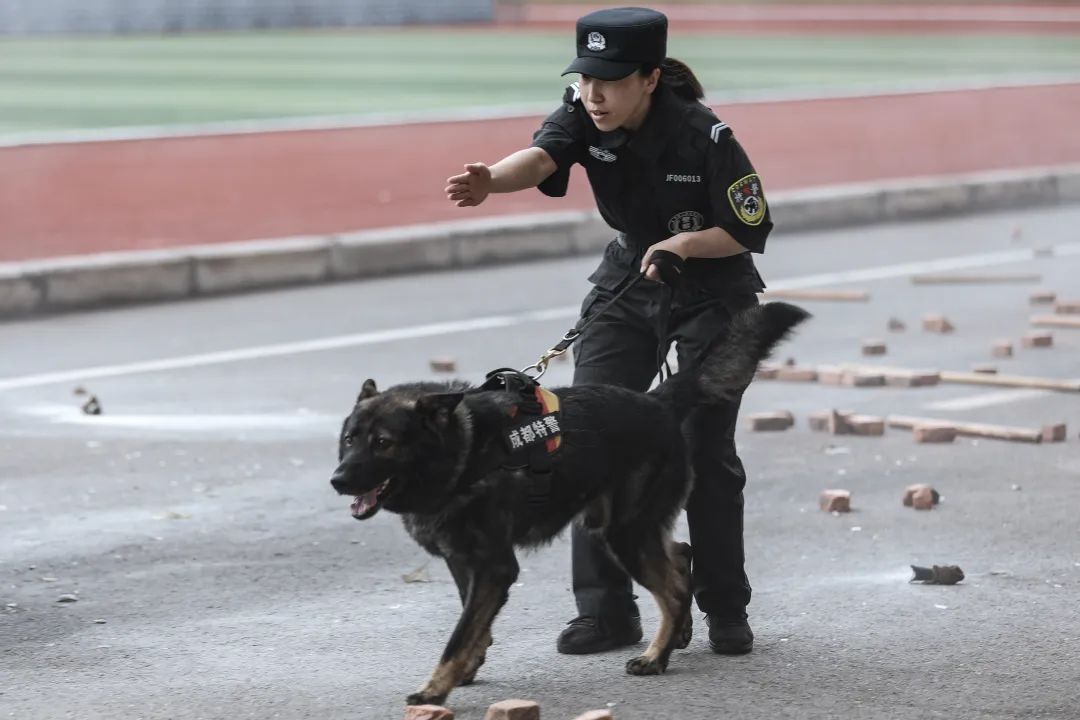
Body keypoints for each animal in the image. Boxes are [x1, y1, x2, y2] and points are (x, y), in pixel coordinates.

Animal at [332, 302, 807, 708]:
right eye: (350, 439)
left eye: (383, 443)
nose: (337, 481)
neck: (463, 451)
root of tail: (656, 400)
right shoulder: (463, 562)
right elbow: (474, 626)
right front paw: (468, 667)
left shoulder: (494, 567)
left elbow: (460, 633)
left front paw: (435, 689)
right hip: (623, 528)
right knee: (681, 556)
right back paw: (677, 635)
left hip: (624, 535)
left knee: (672, 589)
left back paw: (656, 658)